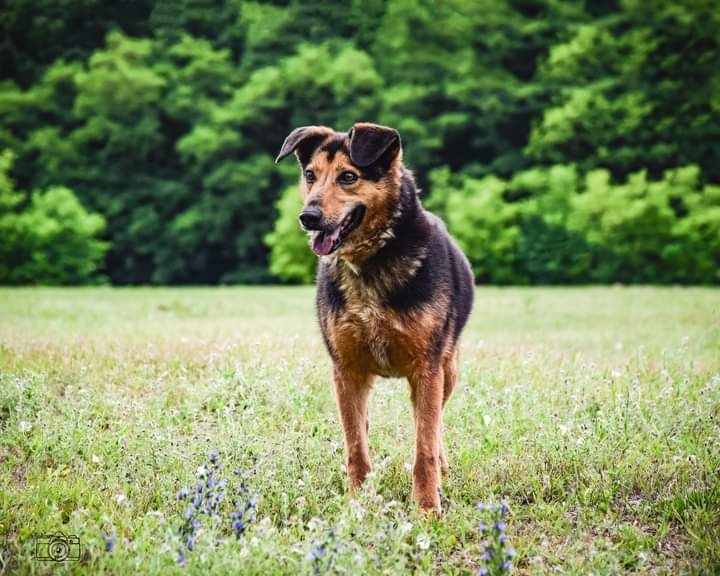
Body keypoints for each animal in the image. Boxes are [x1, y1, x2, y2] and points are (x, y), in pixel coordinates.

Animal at [276, 122, 472, 512]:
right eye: (310, 175)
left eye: (348, 177)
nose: (308, 218)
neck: (370, 260)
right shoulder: (347, 371)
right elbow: (356, 446)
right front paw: (358, 504)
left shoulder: (427, 371)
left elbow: (425, 447)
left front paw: (427, 509)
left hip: (447, 371)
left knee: (435, 426)